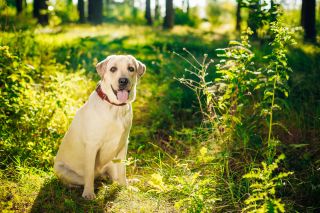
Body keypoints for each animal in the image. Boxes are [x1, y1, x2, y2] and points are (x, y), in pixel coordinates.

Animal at [54, 55, 146, 200]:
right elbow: (89, 173)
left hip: (111, 163)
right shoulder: (92, 145)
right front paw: (88, 193)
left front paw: (125, 186)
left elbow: (123, 170)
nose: (123, 81)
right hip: (62, 169)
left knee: (114, 177)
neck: (115, 107)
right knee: (79, 180)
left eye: (131, 69)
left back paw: (128, 182)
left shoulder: (123, 144)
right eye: (113, 69)